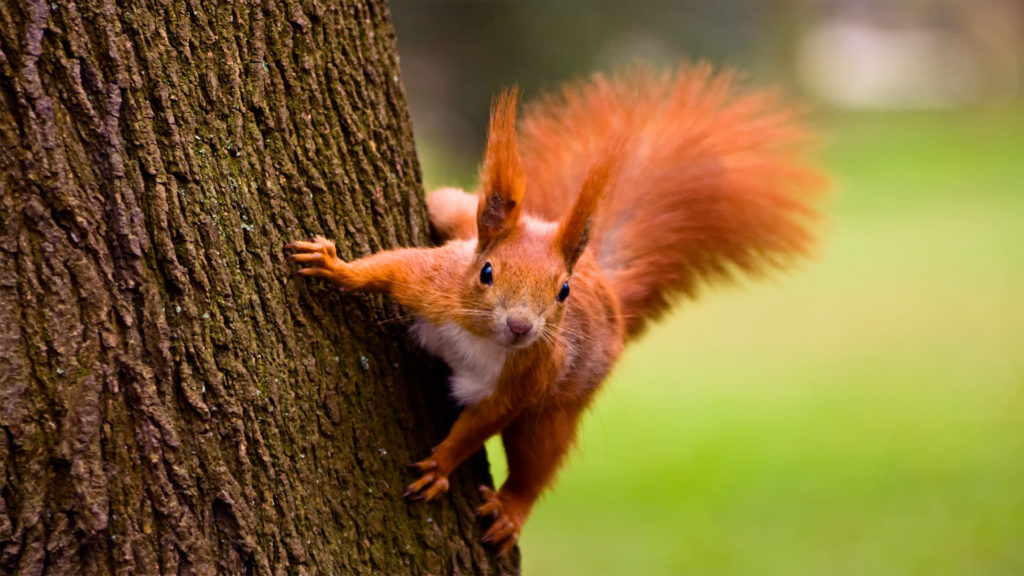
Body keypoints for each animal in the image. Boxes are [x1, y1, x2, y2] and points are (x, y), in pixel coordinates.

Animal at [286, 64, 824, 555]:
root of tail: (607, 288)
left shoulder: (527, 378)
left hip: (557, 408)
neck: (481, 337)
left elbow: (480, 423)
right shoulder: (434, 284)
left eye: (563, 291)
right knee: (447, 206)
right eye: (486, 272)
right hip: (457, 215)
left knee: (537, 460)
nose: (521, 327)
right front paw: (334, 267)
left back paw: (511, 510)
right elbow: (389, 267)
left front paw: (441, 466)